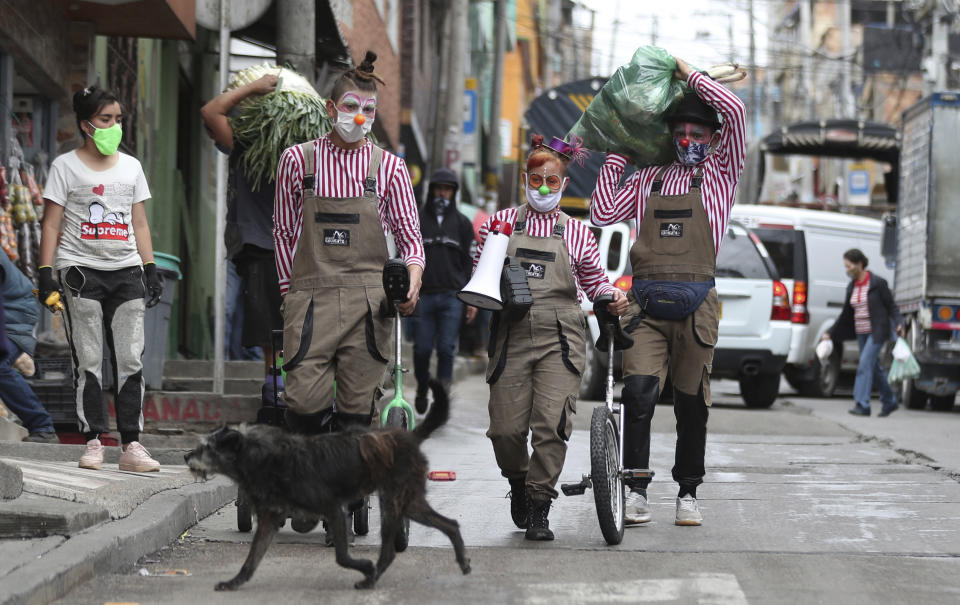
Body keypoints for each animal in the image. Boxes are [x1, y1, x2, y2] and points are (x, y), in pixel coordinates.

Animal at [184, 380, 468, 588]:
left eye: (207, 448)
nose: (186, 456)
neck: (264, 460)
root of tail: (407, 437)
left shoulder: (334, 511)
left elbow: (342, 556)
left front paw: (362, 565)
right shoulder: (268, 521)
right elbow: (251, 558)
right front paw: (234, 582)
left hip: (398, 501)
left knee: (405, 542)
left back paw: (372, 576)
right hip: (406, 503)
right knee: (448, 526)